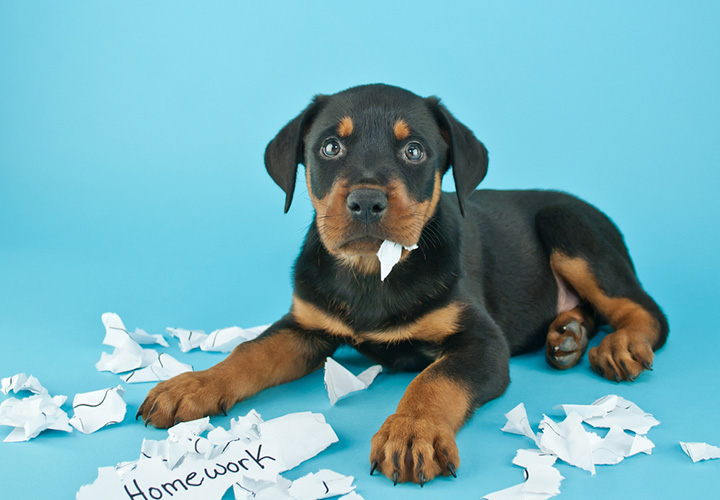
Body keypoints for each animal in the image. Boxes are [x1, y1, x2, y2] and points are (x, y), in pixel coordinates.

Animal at [141, 84, 668, 486]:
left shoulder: (482, 341)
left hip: (569, 227)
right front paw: (194, 384)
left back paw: (619, 346)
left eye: (414, 151)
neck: (373, 273)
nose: (366, 202)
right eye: (330, 147)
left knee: (647, 312)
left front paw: (412, 432)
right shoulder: (305, 325)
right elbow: (249, 352)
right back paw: (567, 336)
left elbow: (434, 379)